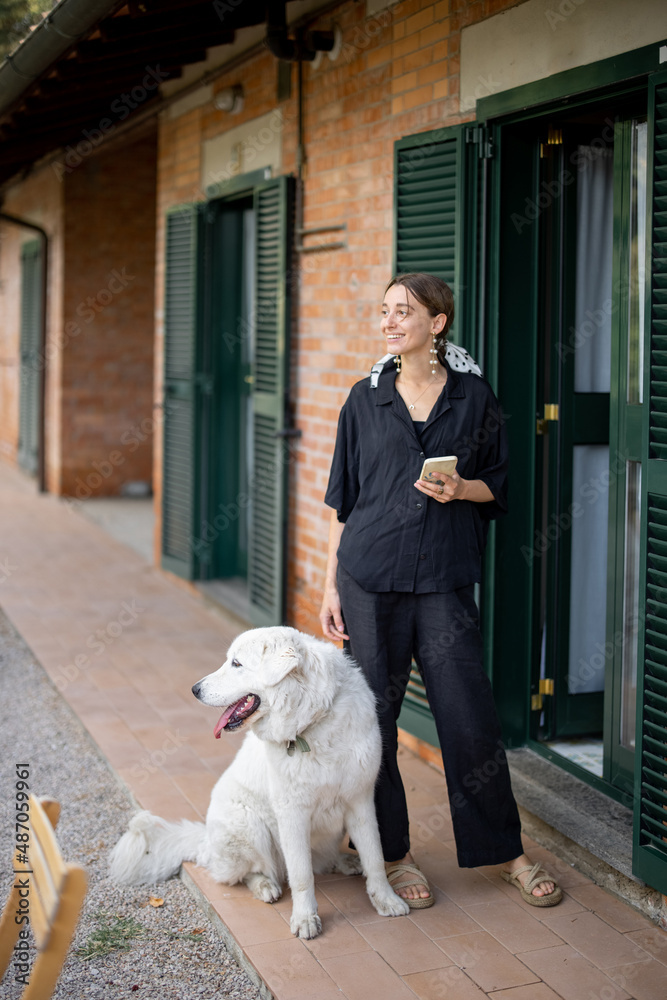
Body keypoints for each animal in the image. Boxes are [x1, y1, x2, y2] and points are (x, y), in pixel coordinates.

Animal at [111, 624, 408, 936]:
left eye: (236, 663)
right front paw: (305, 918)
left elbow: (375, 858)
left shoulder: (360, 802)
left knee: (322, 862)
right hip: (248, 825)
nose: (194, 689)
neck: (314, 721)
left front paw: (386, 900)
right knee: (249, 872)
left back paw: (346, 861)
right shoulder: (292, 813)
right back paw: (266, 886)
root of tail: (205, 842)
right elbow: (302, 875)